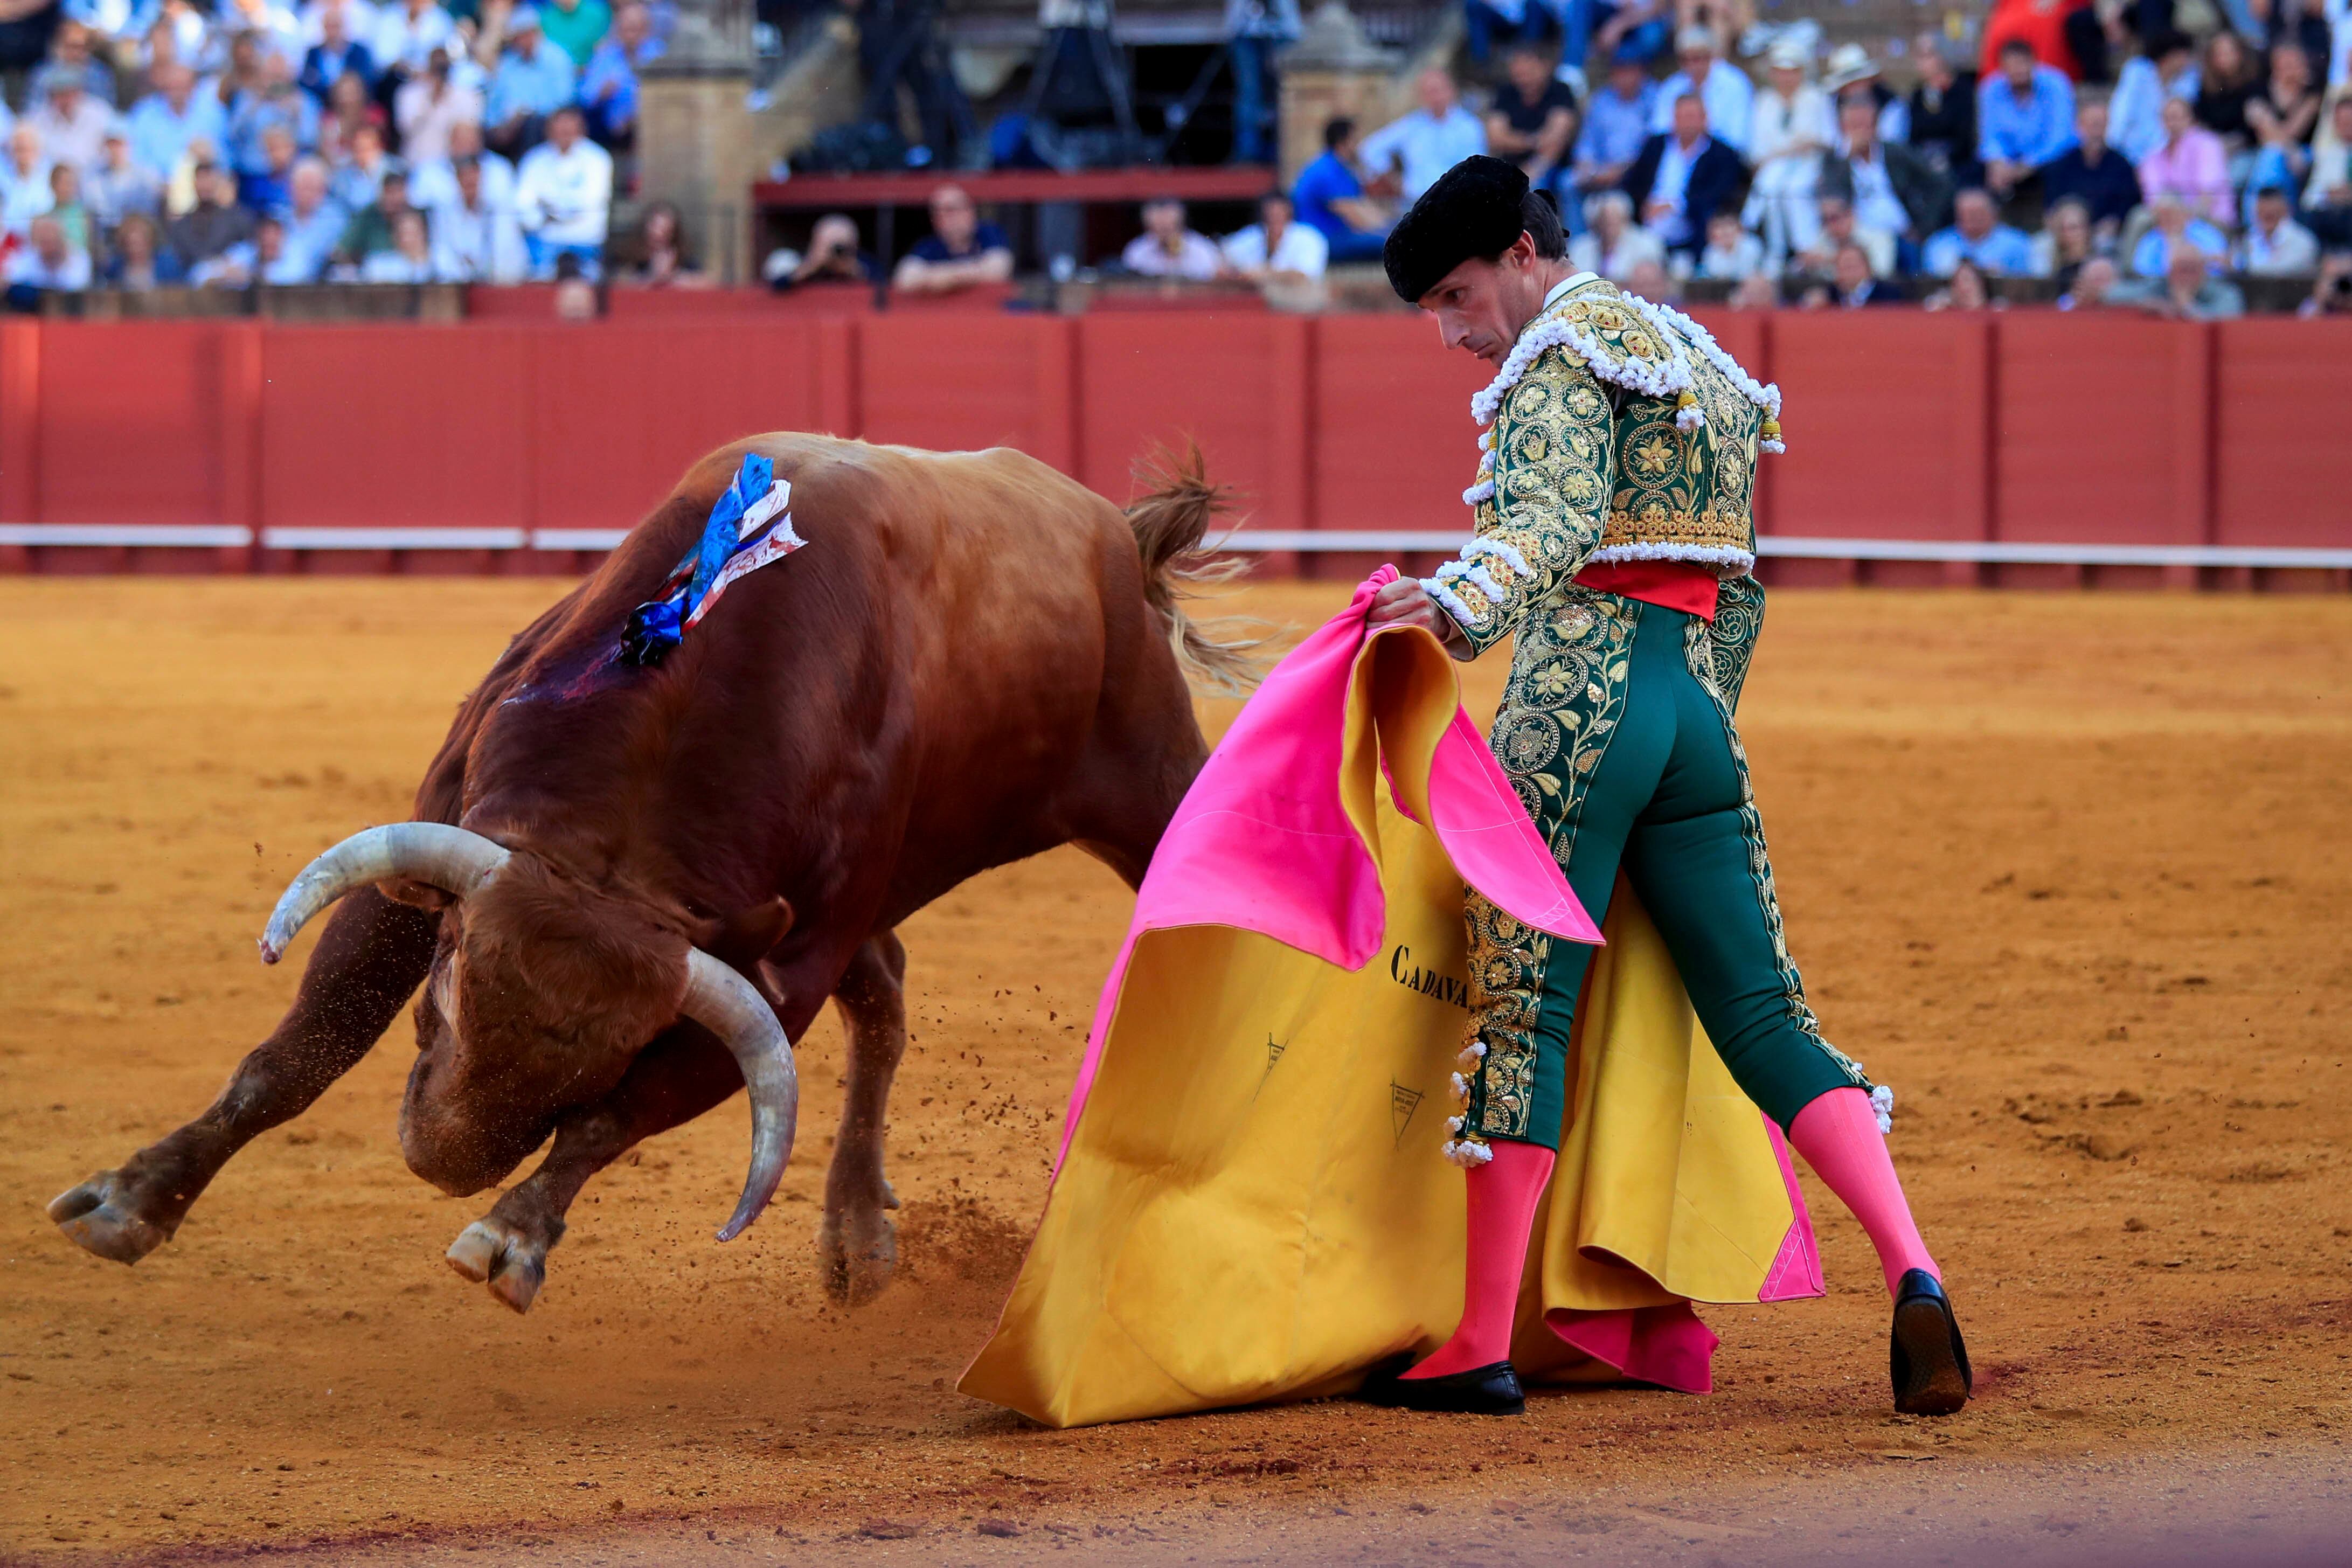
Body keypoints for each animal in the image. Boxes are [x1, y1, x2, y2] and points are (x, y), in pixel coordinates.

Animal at [46, 430, 1251, 1316]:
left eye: (613, 1050)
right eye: (448, 983)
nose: (441, 1158)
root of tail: (1110, 533)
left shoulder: (772, 980)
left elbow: (614, 1122)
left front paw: (508, 1235)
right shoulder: (432, 853)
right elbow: (299, 1053)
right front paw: (133, 1200)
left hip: (1146, 779)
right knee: (888, 1000)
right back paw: (857, 1236)